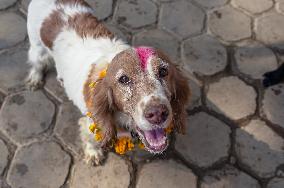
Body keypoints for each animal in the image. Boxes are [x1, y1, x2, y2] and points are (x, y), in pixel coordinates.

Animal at [26, 0, 191, 164]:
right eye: (123, 79)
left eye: (163, 71)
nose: (157, 114)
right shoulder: (90, 123)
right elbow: (89, 138)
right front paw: (93, 153)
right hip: (37, 48)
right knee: (37, 63)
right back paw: (35, 78)